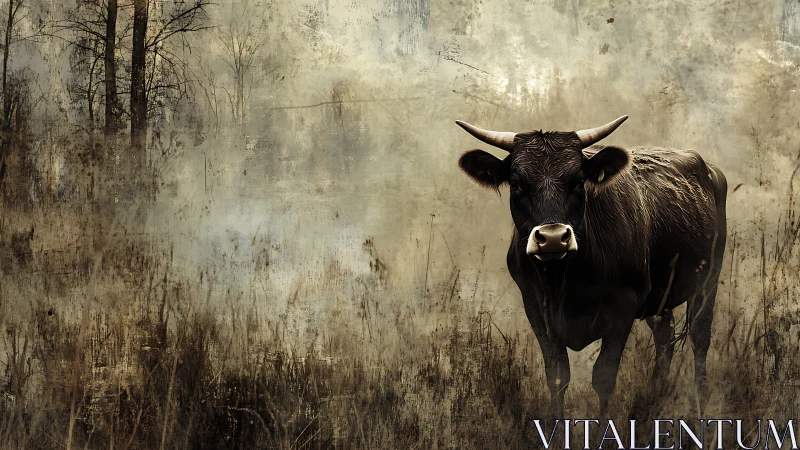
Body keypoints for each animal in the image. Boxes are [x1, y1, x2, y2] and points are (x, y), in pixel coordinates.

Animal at [454, 116, 727, 416]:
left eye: (578, 181)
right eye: (516, 184)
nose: (552, 238)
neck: (564, 280)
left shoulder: (624, 307)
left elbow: (603, 378)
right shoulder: (536, 307)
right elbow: (557, 376)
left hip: (709, 279)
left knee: (700, 338)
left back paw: (700, 407)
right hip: (660, 295)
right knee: (664, 338)